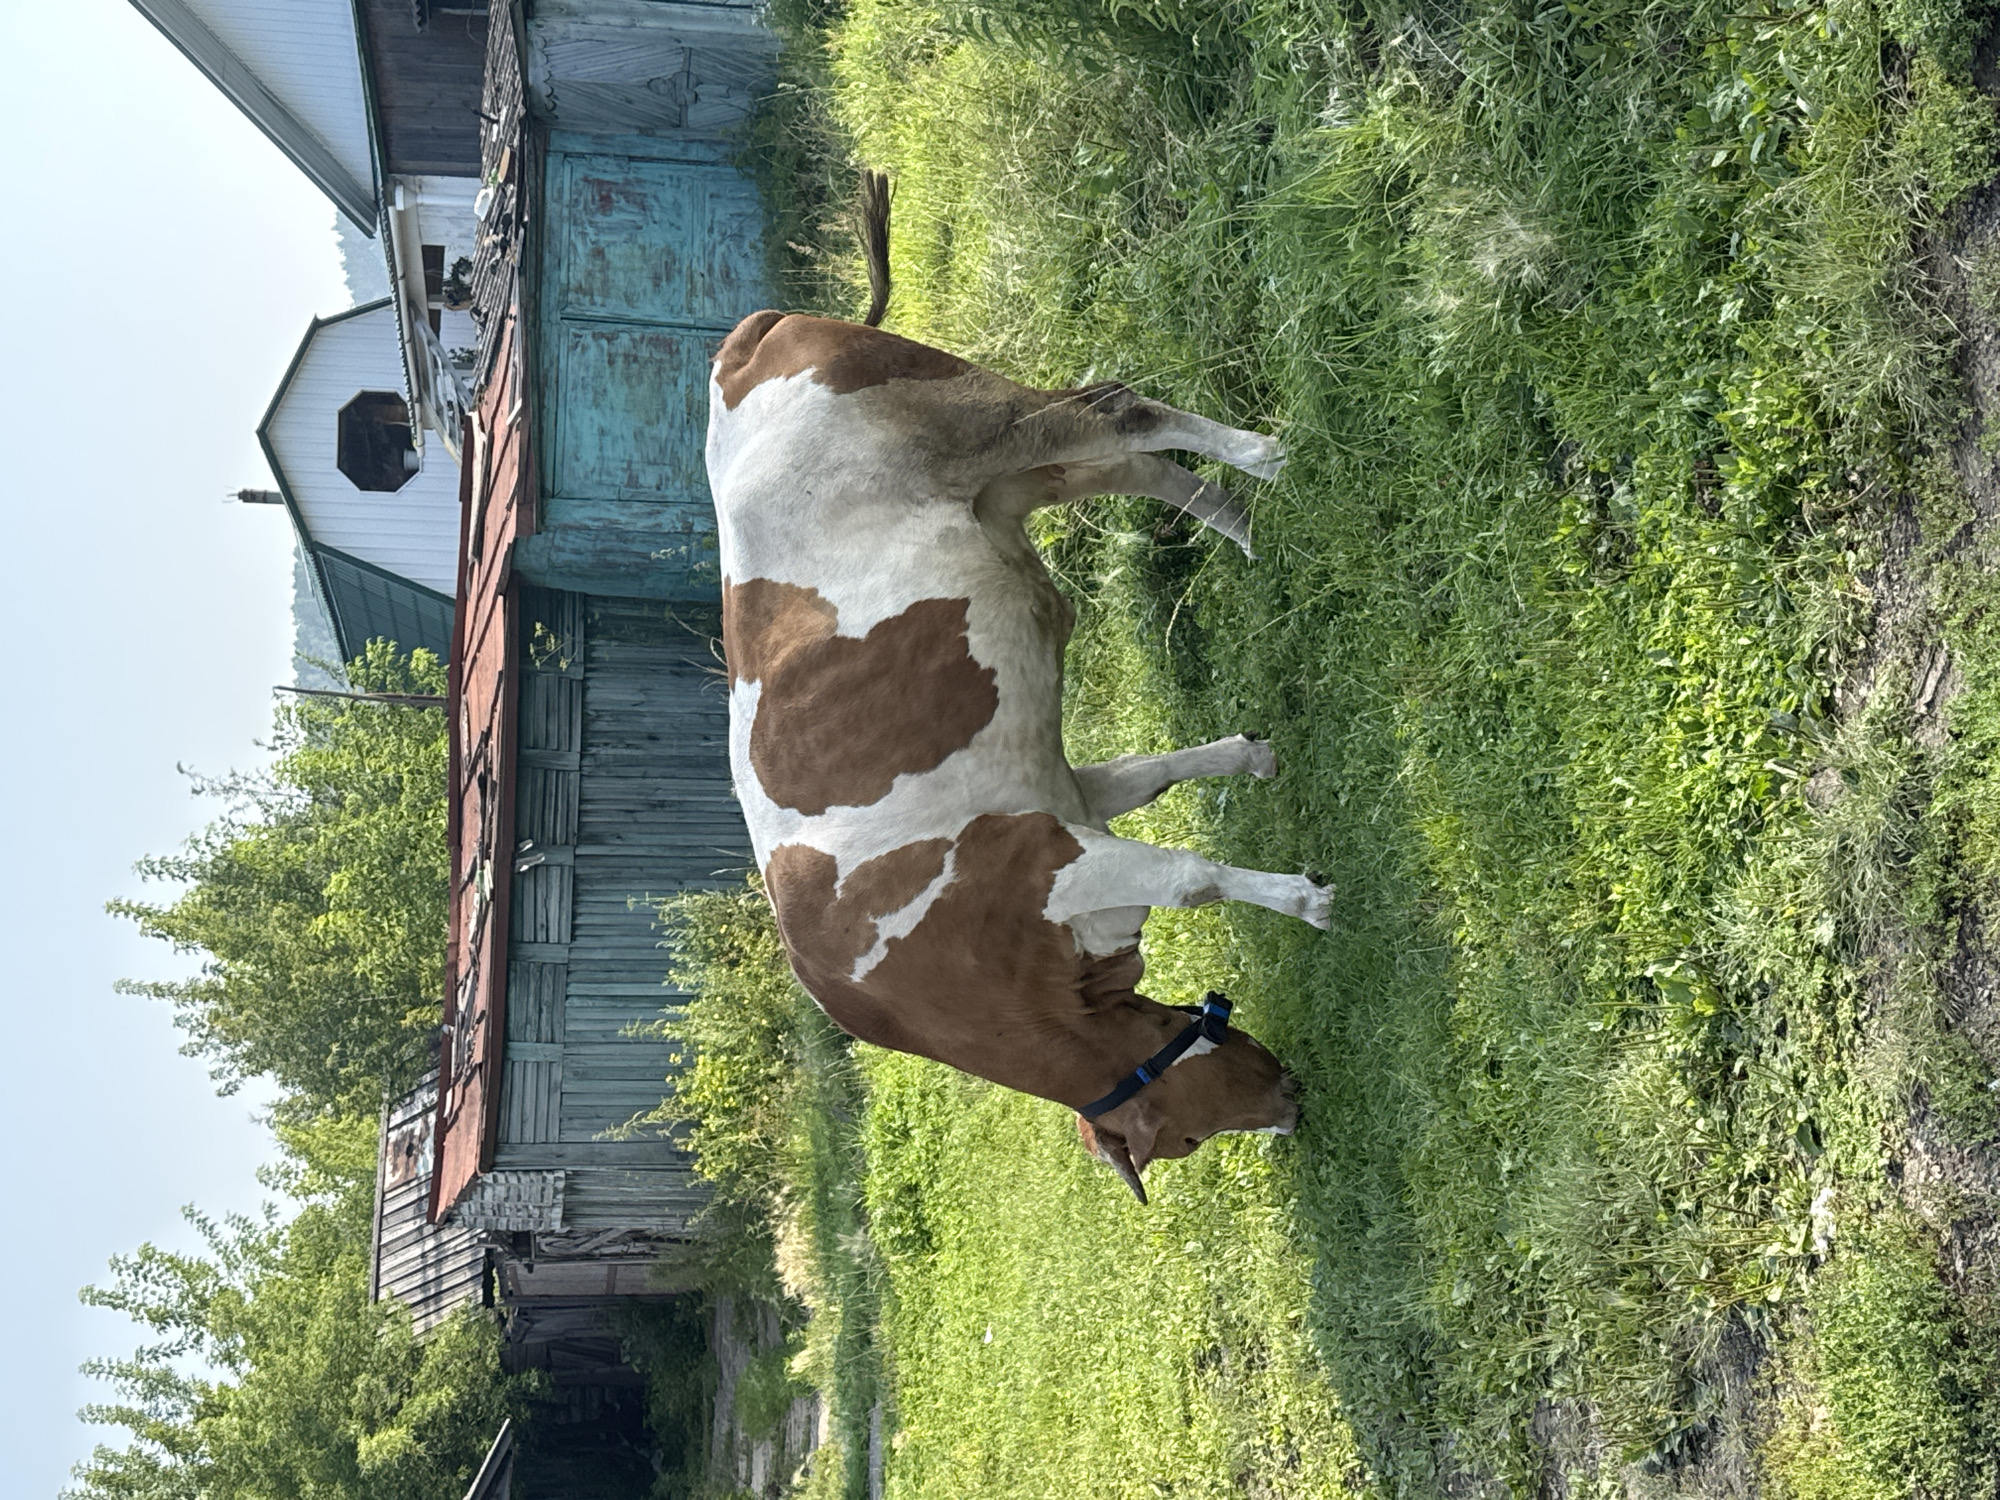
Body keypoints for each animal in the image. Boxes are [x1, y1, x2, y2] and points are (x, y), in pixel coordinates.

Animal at [704, 202, 1327, 1204]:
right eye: (1192, 1139)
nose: (1292, 1109)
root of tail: (745, 344)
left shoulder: (1048, 862)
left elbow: (1191, 876)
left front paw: (1306, 901)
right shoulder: (1064, 804)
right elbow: (1154, 776)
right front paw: (1250, 755)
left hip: (981, 425)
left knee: (1115, 408)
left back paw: (1266, 456)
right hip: (1005, 486)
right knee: (1128, 464)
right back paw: (1243, 526)